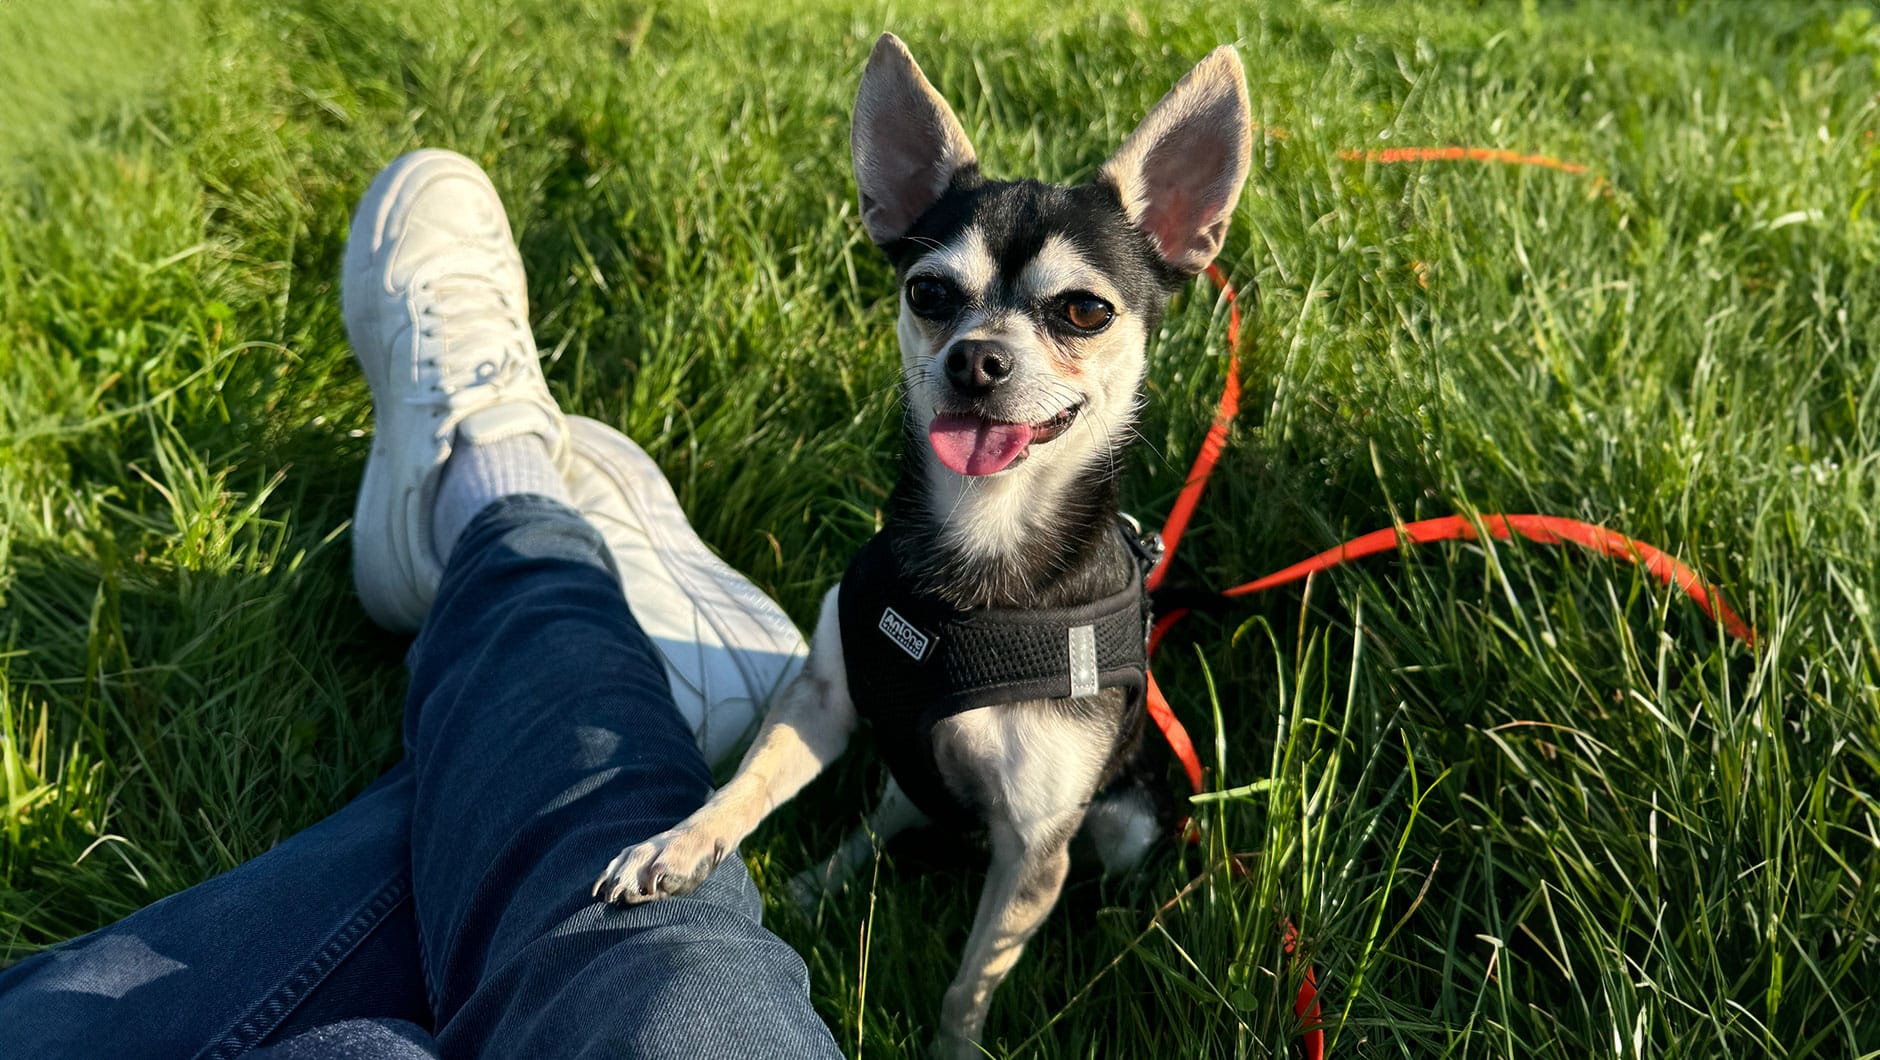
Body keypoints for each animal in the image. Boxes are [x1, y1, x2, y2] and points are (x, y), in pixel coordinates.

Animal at [594, 31, 1255, 1052]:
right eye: (929, 292)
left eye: (1085, 311)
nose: (976, 358)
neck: (981, 549)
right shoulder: (824, 702)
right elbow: (747, 787)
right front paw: (680, 842)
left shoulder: (1033, 848)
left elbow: (967, 983)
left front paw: (955, 1046)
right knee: (887, 814)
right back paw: (818, 884)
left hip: (1125, 825)